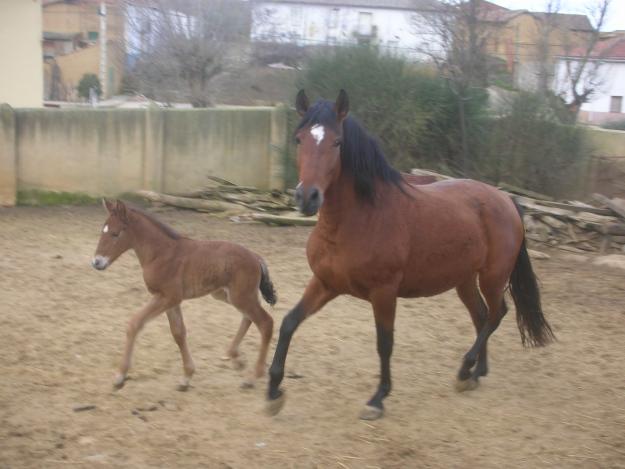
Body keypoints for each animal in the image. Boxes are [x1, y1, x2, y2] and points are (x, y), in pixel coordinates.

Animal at [91, 199, 274, 390]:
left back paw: (253, 376)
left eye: (115, 234)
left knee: (265, 323)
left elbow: (135, 324)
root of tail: (255, 256)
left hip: (240, 296)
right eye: (103, 231)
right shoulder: (172, 300)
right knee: (249, 317)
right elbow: (178, 333)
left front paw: (120, 375)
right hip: (227, 295)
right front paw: (187, 376)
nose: (96, 262)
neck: (161, 253)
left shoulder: (168, 297)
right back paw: (236, 358)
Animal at [266, 89, 552, 418]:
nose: (307, 197)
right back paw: (476, 373)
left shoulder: (384, 292)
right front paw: (273, 390)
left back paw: (465, 370)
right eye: (299, 139)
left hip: (492, 278)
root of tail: (506, 200)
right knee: (481, 317)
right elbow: (289, 323)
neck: (360, 218)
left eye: (337, 142)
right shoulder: (326, 284)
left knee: (496, 314)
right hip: (464, 280)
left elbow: (385, 342)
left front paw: (378, 398)